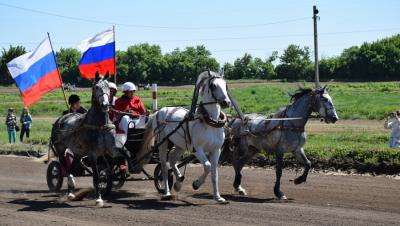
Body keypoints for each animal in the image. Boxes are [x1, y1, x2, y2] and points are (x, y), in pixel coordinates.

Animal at [50, 73, 114, 207]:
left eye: (108, 87)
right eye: (96, 87)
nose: (105, 105)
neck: (97, 126)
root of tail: (61, 118)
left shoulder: (105, 152)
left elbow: (106, 170)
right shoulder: (92, 154)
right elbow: (96, 176)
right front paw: (98, 199)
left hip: (78, 153)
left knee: (71, 168)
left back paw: (70, 191)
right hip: (60, 148)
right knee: (65, 168)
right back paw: (70, 185)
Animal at [139, 70, 230, 203]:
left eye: (225, 84)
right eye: (213, 85)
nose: (226, 102)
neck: (209, 122)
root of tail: (159, 111)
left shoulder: (216, 150)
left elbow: (214, 173)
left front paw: (218, 197)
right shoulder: (197, 150)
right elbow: (208, 166)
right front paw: (196, 184)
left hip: (180, 145)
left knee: (172, 159)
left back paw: (178, 182)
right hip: (163, 142)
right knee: (164, 166)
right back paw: (167, 192)